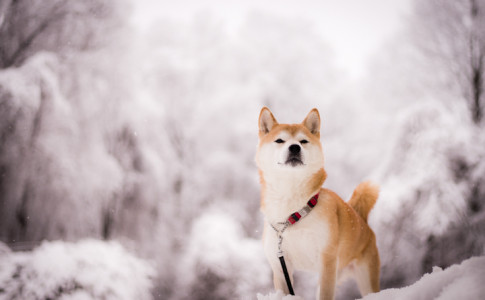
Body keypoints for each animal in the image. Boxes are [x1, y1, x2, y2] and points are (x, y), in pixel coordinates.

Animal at [255, 107, 380, 300]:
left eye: (303, 141)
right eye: (280, 140)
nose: (294, 147)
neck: (293, 210)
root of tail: (362, 221)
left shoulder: (327, 259)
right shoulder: (280, 267)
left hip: (364, 276)